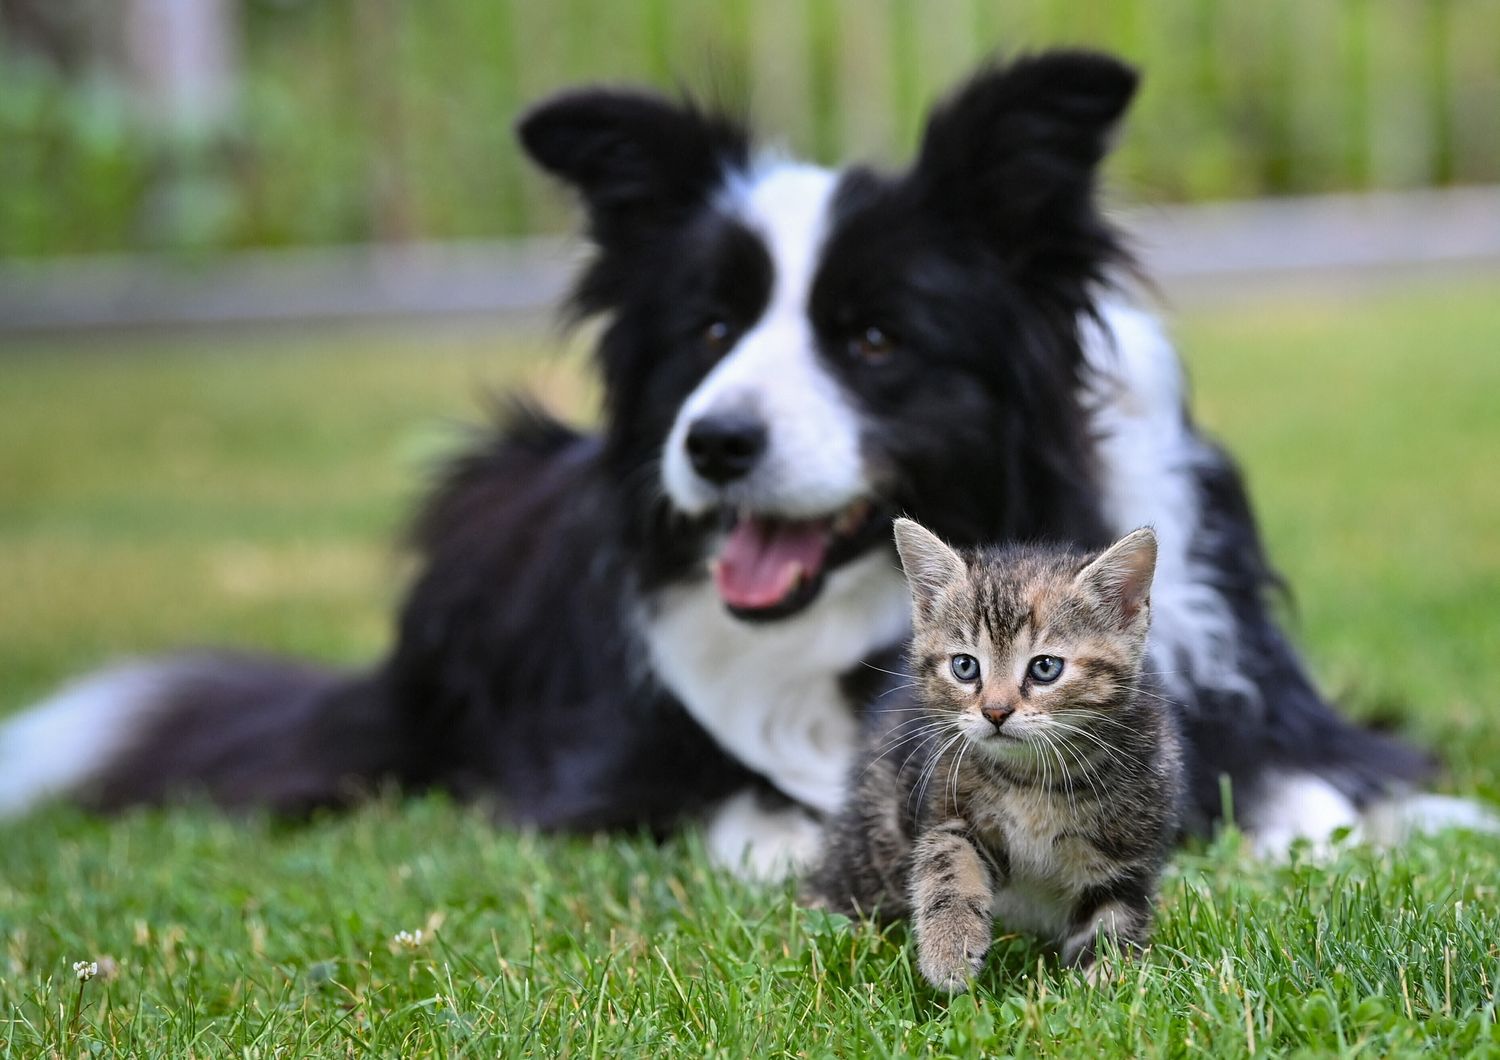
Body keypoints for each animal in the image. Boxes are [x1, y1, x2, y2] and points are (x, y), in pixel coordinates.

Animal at [2, 49, 1476, 875]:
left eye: (874, 337)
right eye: (709, 328)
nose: (711, 444)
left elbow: (1328, 794)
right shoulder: (612, 771)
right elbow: (744, 805)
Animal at [810, 521, 1182, 995]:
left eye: (1045, 668)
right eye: (965, 666)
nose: (996, 711)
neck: (1036, 777)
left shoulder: (1127, 851)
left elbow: (1112, 920)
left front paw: (1103, 987)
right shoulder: (946, 802)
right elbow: (948, 860)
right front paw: (949, 948)